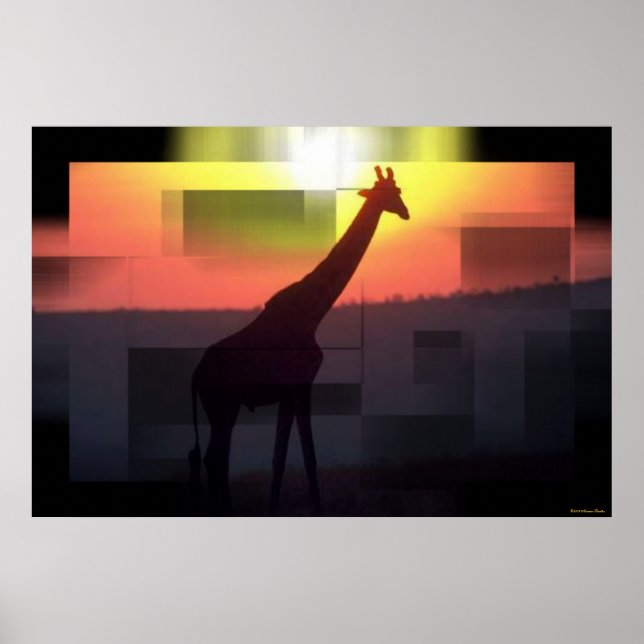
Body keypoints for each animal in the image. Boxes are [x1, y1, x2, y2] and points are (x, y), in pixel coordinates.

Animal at [189, 166, 410, 515]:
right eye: (388, 193)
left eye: (398, 190)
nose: (405, 212)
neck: (313, 312)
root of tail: (196, 376)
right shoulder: (301, 384)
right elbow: (307, 453)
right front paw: (316, 508)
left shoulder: (288, 392)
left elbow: (280, 455)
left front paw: (273, 507)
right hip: (222, 405)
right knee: (215, 457)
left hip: (223, 408)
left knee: (215, 457)